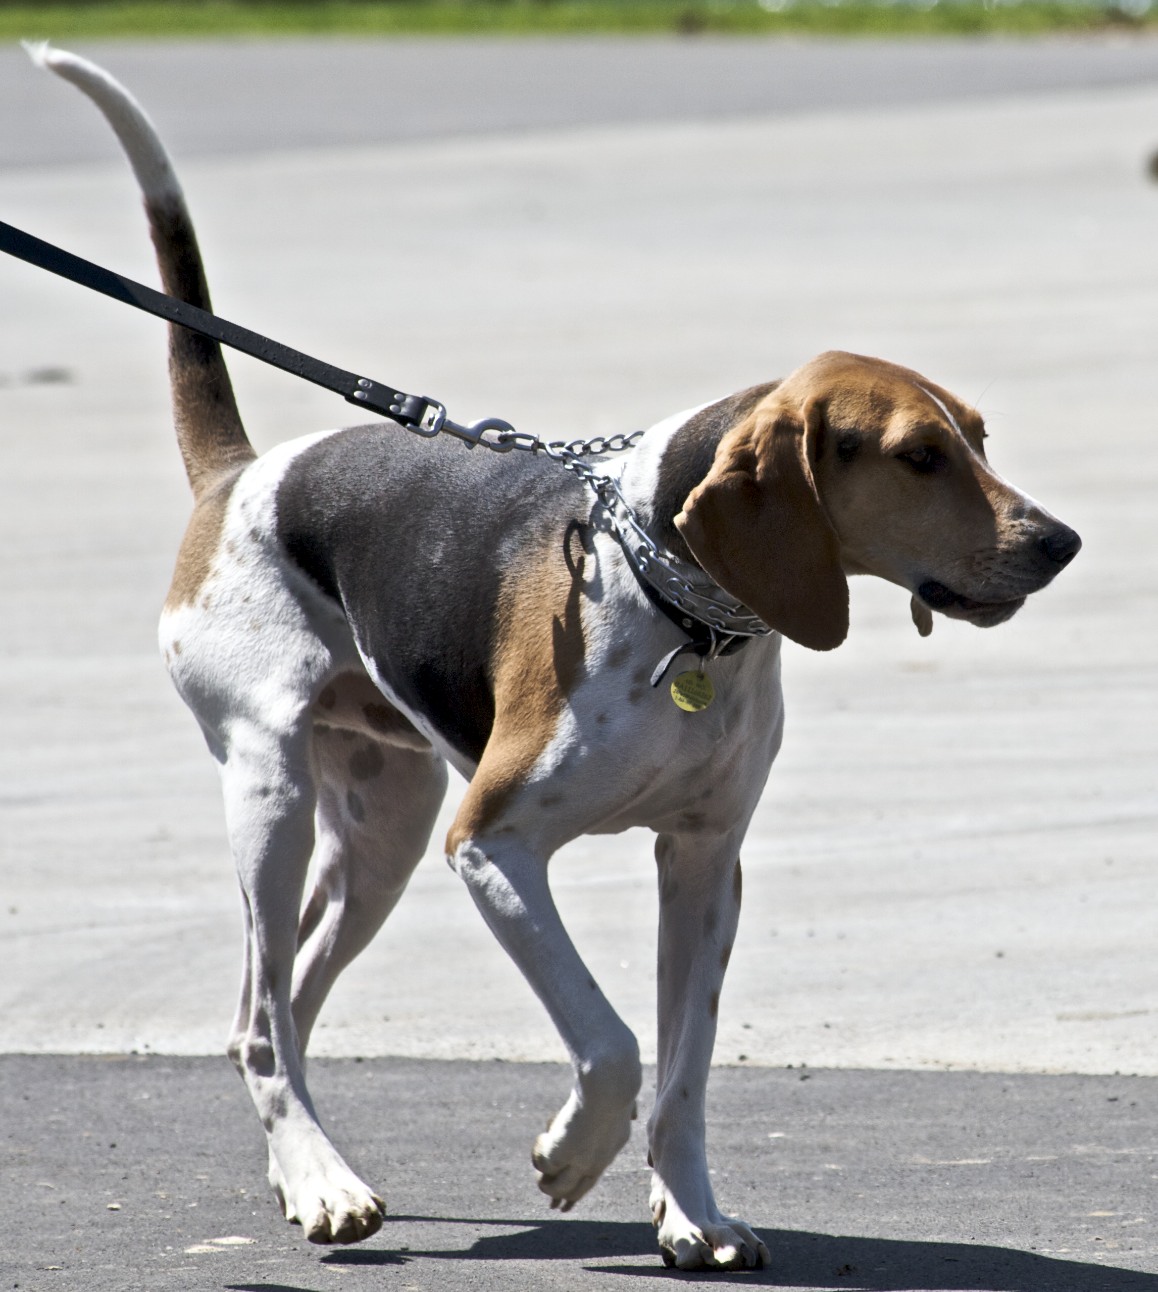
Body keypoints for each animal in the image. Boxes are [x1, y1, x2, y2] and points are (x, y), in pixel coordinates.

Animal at [36, 45, 1080, 1266]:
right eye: (919, 456)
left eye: (981, 437)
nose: (1059, 542)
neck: (685, 611)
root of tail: (243, 472)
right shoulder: (492, 844)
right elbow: (615, 1042)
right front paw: (571, 1154)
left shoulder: (705, 861)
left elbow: (684, 1070)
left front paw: (693, 1212)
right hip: (275, 792)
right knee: (259, 1016)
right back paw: (325, 1183)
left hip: (382, 830)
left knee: (286, 998)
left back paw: (306, 1174)